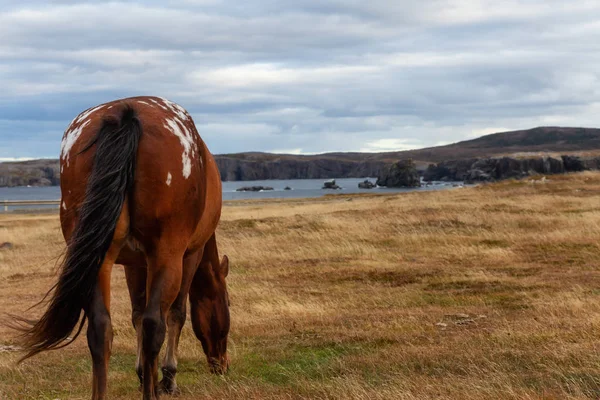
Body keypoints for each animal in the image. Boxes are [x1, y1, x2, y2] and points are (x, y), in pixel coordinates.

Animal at [14, 95, 230, 398]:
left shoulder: (135, 263)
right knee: (154, 325)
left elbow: (136, 313)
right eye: (227, 302)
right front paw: (166, 379)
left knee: (100, 329)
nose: (223, 365)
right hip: (167, 255)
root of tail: (124, 112)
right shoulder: (190, 255)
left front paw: (143, 374)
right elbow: (175, 314)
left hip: (99, 261)